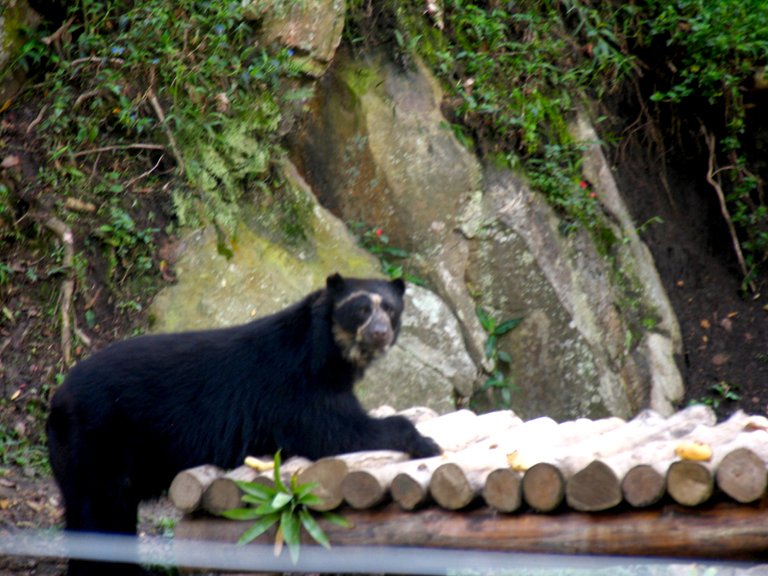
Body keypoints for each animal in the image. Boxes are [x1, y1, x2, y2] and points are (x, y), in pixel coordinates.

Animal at [48, 274, 440, 576]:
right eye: (361, 309)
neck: (329, 353)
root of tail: (58, 397)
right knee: (101, 509)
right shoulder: (297, 388)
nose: (380, 333)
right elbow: (337, 432)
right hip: (101, 440)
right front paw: (426, 441)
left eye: (390, 309)